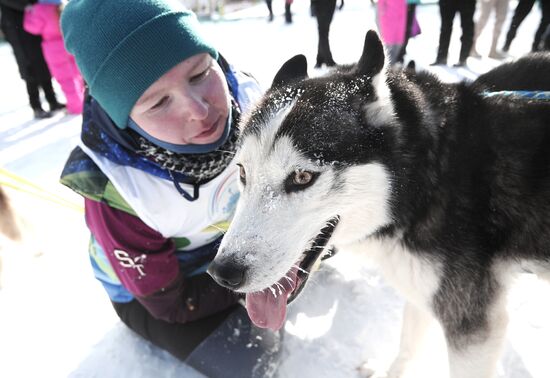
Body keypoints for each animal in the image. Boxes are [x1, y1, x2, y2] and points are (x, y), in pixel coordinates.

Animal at [209, 30, 550, 378]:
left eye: (302, 176)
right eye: (242, 172)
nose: (223, 273)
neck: (429, 180)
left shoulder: (471, 327)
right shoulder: (420, 286)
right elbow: (408, 344)